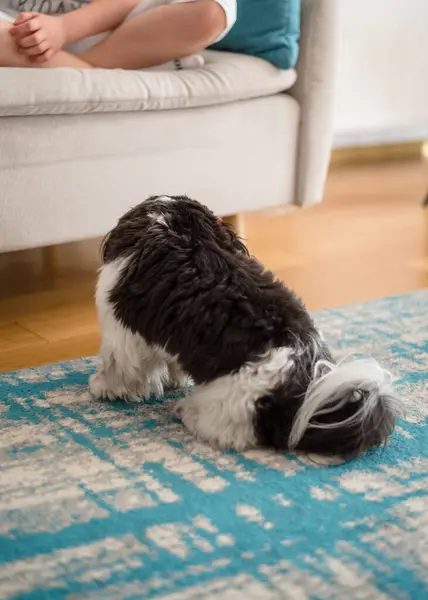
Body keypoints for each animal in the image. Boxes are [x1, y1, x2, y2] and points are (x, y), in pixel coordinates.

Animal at [90, 195, 404, 458]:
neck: (181, 232)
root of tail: (298, 393)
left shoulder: (122, 332)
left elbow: (120, 367)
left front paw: (104, 388)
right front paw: (174, 379)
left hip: (230, 402)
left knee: (228, 432)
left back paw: (188, 412)